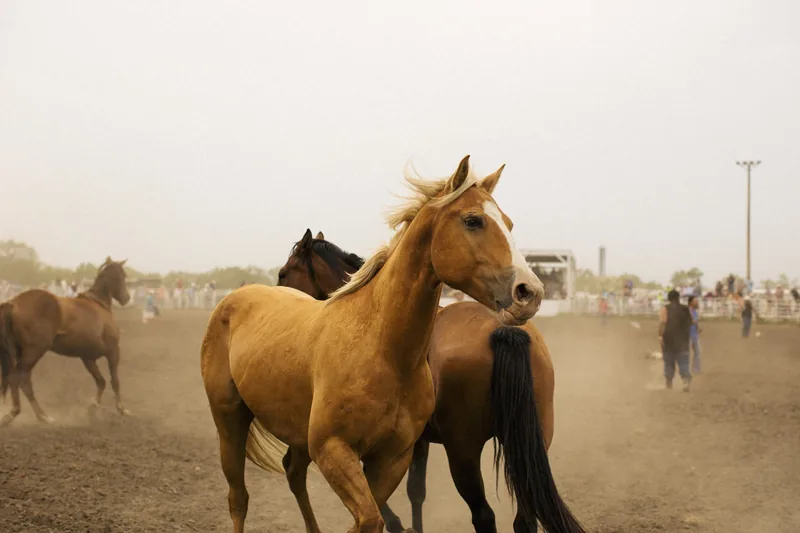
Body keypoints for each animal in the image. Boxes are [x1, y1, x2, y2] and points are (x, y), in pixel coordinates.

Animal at [0, 257, 132, 427]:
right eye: (123, 276)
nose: (126, 298)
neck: (99, 305)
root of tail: (13, 303)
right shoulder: (113, 351)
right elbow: (114, 381)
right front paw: (122, 409)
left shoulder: (87, 358)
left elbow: (100, 381)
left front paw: (93, 406)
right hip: (34, 351)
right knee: (21, 378)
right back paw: (38, 415)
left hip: (19, 351)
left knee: (15, 378)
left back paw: (22, 414)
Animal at [200, 156, 545, 533]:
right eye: (473, 220)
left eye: (508, 223)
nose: (529, 292)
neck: (381, 347)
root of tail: (233, 300)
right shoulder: (334, 450)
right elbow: (375, 516)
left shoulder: (393, 457)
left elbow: (376, 515)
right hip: (229, 419)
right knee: (240, 497)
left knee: (291, 472)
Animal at [278, 230, 586, 533]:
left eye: (283, 273)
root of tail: (502, 330)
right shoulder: (415, 440)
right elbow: (416, 490)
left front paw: (398, 525)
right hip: (530, 444)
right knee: (524, 518)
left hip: (463, 452)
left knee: (483, 515)